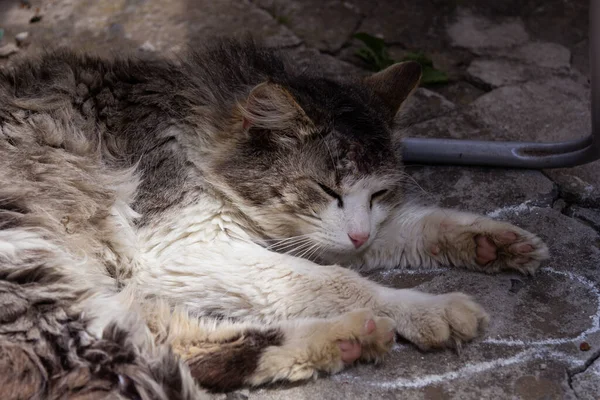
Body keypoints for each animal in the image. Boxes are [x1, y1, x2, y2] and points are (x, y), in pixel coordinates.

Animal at [0, 38, 548, 400]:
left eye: (379, 192)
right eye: (326, 189)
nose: (357, 234)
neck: (197, 130)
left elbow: (411, 226)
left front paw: (492, 242)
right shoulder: (183, 243)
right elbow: (334, 281)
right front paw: (430, 309)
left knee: (168, 339)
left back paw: (347, 340)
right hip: (36, 280)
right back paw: (351, 333)